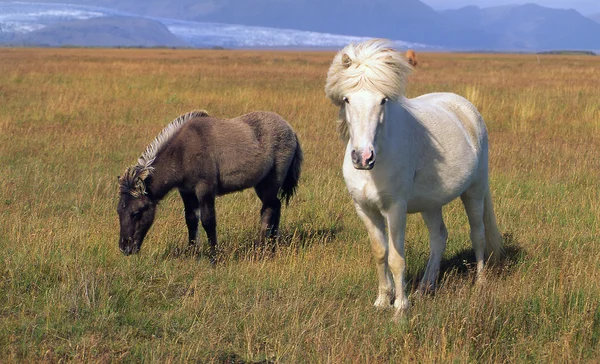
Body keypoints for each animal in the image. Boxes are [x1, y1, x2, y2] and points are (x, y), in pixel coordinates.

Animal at [118, 109, 304, 260]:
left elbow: (208, 221)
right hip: (262, 184)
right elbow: (191, 220)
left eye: (136, 213)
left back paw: (261, 249)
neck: (183, 152)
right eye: (119, 211)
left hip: (271, 182)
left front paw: (214, 257)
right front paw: (192, 253)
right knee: (275, 207)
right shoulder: (186, 192)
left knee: (269, 210)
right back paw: (272, 247)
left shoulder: (205, 189)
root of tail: (291, 130)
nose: (125, 248)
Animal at [324, 39, 502, 316]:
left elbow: (396, 258)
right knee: (439, 237)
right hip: (431, 203)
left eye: (383, 100)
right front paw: (382, 301)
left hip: (475, 190)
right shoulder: (364, 209)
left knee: (478, 234)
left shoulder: (395, 208)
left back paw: (480, 282)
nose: (363, 157)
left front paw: (400, 308)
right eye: (347, 99)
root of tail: (466, 108)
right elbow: (380, 253)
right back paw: (426, 287)